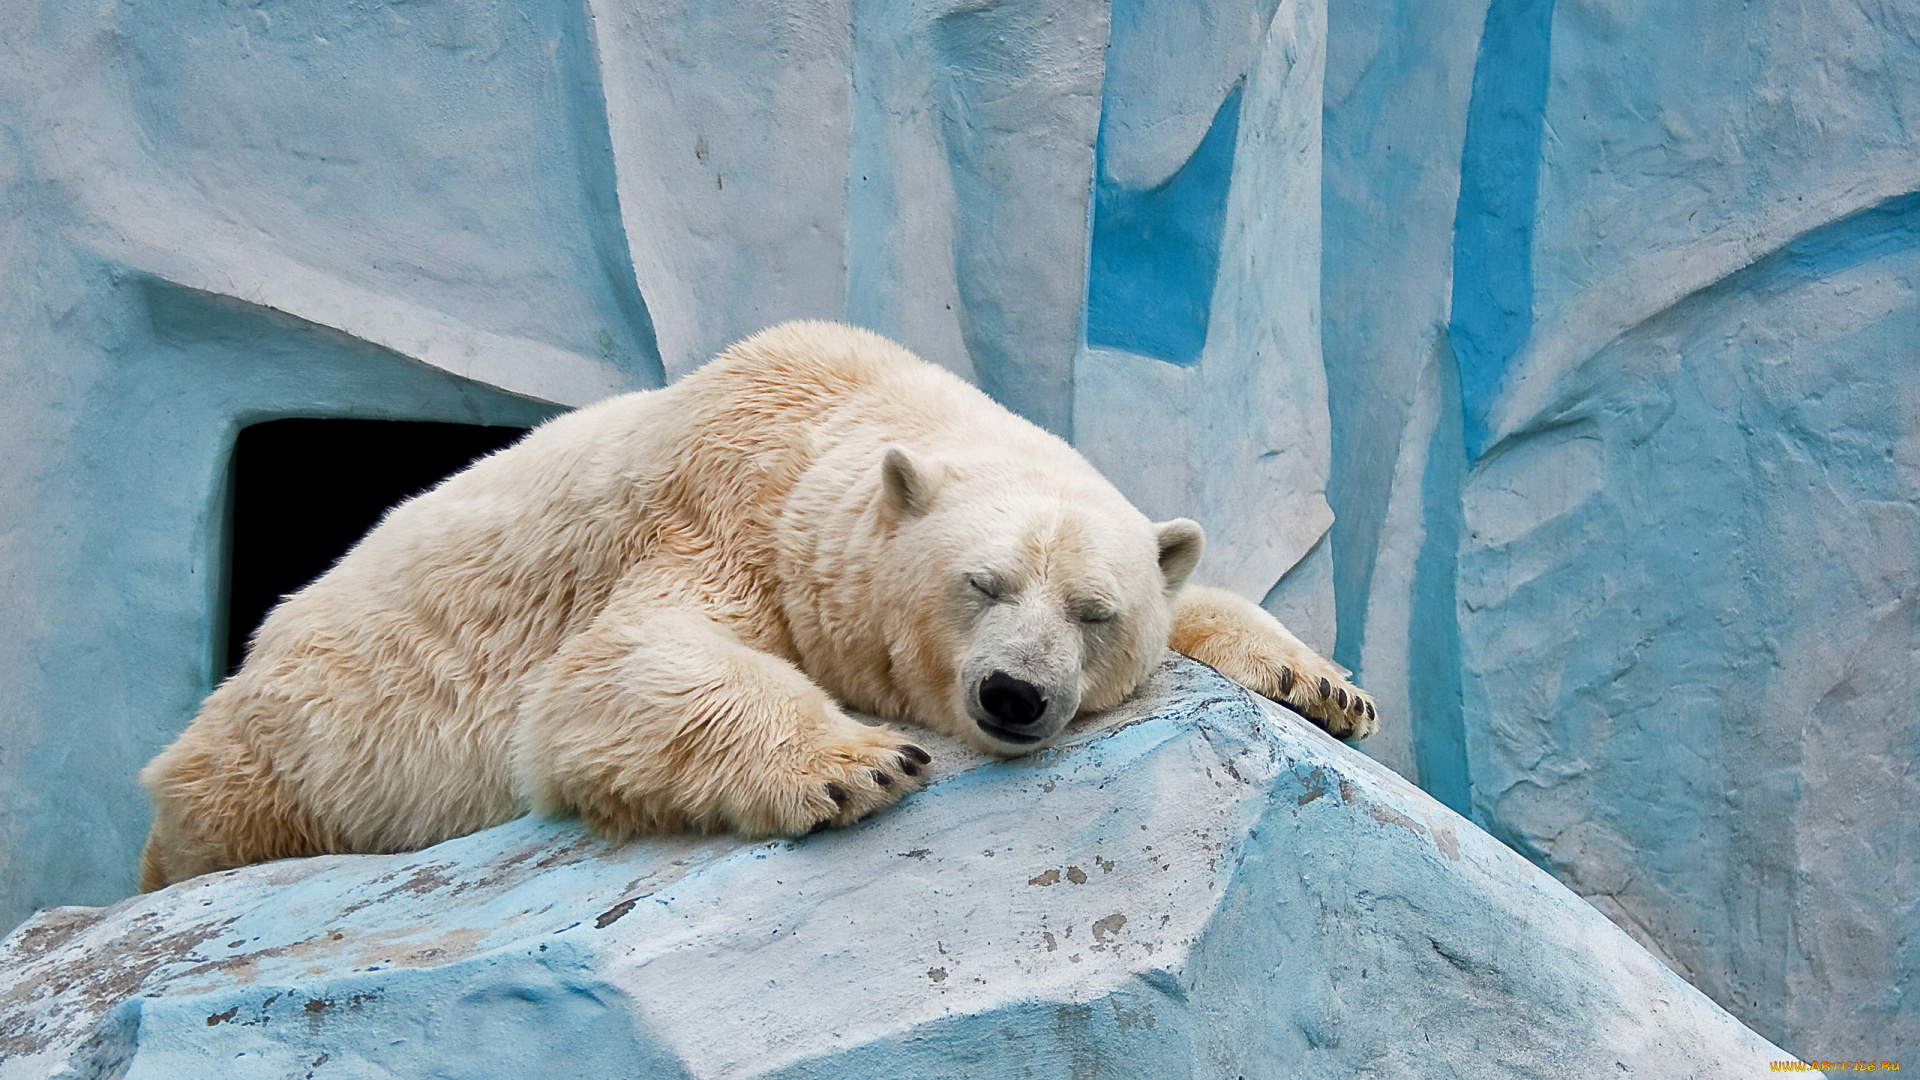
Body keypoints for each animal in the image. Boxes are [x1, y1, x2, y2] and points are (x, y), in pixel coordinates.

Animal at [135, 317, 1374, 883]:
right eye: (982, 583)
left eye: (1093, 611)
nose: (1015, 697)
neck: (836, 412)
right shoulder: (719, 513)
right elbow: (610, 670)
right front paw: (857, 763)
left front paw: (1325, 685)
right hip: (285, 755)